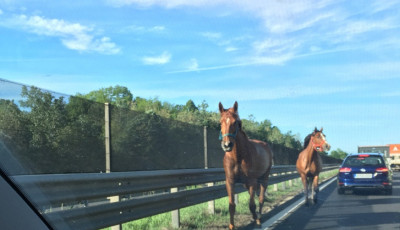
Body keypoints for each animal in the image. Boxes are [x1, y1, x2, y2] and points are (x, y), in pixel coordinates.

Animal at [219, 101, 272, 229]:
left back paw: (259, 217)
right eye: (220, 122)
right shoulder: (230, 182)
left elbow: (252, 204)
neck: (238, 157)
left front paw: (257, 220)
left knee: (261, 198)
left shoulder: (252, 182)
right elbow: (231, 205)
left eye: (236, 122)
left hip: (264, 178)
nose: (227, 145)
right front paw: (231, 226)